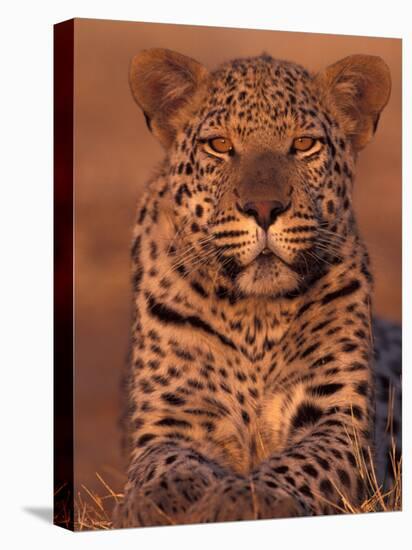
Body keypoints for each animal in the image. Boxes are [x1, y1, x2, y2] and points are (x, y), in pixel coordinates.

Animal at [113, 48, 402, 532]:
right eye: (219, 145)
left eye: (304, 145)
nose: (264, 208)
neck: (254, 315)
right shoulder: (173, 417)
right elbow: (165, 461)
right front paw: (158, 499)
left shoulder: (336, 419)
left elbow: (301, 463)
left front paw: (247, 497)